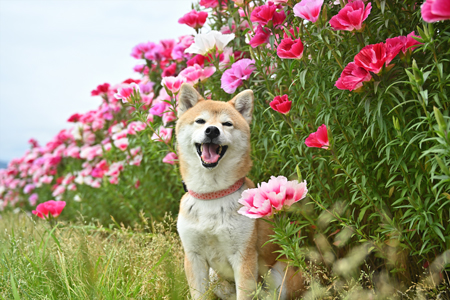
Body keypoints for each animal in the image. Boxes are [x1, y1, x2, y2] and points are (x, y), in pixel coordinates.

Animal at [174, 84, 304, 300]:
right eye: (200, 121)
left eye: (227, 124)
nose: (212, 130)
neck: (213, 194)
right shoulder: (194, 256)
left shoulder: (243, 255)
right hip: (215, 276)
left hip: (278, 275)